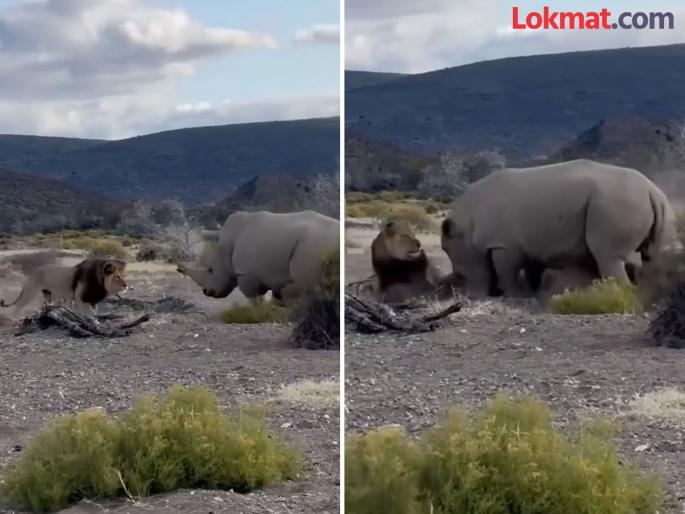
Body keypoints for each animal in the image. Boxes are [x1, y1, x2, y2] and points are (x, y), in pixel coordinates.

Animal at [177, 210, 339, 304]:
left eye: (211, 270)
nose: (206, 292)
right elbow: (277, 297)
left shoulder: (247, 274)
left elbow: (256, 298)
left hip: (313, 245)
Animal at [441, 159, 677, 297]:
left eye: (448, 251)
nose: (467, 294)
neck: (466, 222)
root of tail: (651, 189)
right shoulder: (530, 245)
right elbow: (532, 271)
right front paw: (532, 295)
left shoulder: (503, 244)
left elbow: (506, 272)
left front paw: (511, 296)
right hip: (652, 205)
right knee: (653, 256)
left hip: (614, 202)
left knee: (608, 255)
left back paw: (619, 292)